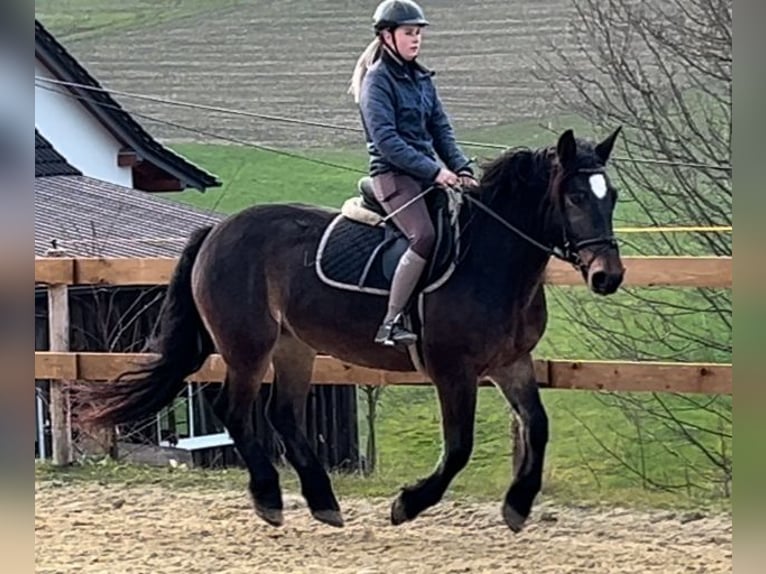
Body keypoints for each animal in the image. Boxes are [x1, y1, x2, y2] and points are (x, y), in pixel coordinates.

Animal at [78, 128, 628, 532]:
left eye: (613, 196)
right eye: (575, 196)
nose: (608, 276)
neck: (490, 261)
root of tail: (216, 230)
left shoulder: (511, 363)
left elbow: (537, 425)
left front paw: (517, 505)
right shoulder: (453, 370)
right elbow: (459, 447)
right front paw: (408, 504)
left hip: (293, 347)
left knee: (283, 414)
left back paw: (323, 501)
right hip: (247, 347)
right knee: (234, 408)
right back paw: (269, 499)